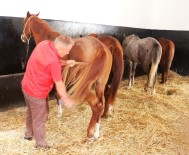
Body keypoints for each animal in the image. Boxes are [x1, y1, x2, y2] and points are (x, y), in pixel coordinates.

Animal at [21, 11, 112, 140]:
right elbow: (58, 93)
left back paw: (90, 132)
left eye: (24, 22)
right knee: (101, 103)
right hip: (100, 84)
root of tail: (101, 48)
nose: (23, 37)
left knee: (97, 105)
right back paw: (96, 132)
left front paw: (49, 114)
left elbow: (50, 95)